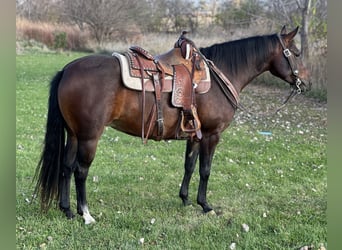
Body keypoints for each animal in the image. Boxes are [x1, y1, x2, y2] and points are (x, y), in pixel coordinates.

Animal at [34, 25, 312, 225]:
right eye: (297, 54)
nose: (307, 84)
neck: (221, 76)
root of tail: (67, 70)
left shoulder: (195, 135)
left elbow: (189, 166)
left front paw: (186, 199)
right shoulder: (212, 135)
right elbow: (205, 170)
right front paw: (205, 205)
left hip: (74, 134)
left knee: (66, 167)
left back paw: (67, 210)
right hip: (90, 137)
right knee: (80, 171)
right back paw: (86, 214)